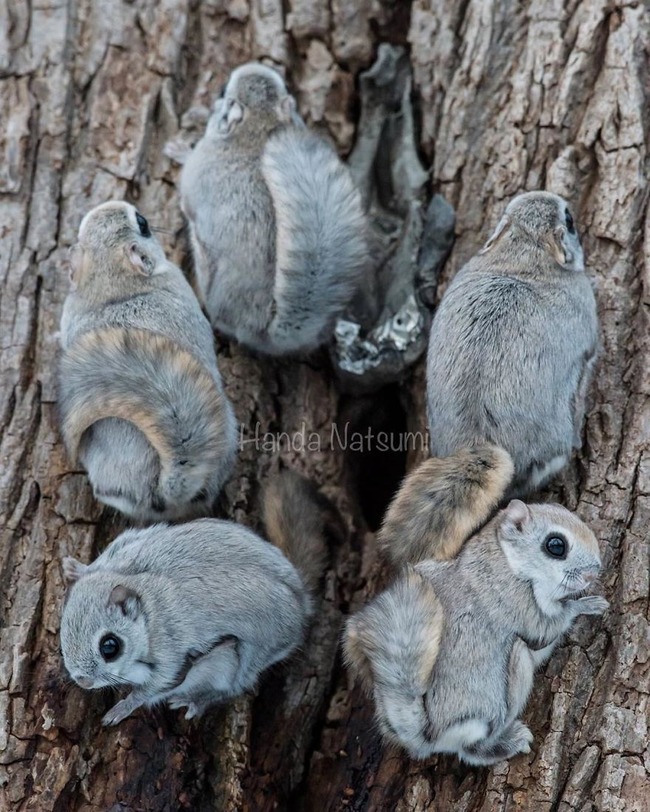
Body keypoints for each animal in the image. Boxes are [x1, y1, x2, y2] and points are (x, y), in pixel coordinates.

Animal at [60, 469, 339, 725]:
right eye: (62, 635)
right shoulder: (125, 547)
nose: (83, 681)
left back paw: (196, 700)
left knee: (234, 687)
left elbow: (151, 689)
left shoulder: (169, 653)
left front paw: (121, 709)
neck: (142, 590)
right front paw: (76, 568)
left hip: (242, 658)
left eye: (110, 647)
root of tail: (300, 597)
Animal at [344, 497, 608, 765]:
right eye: (556, 546)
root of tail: (430, 734)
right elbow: (549, 626)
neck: (506, 559)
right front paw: (586, 605)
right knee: (472, 749)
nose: (592, 573)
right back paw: (507, 743)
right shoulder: (517, 603)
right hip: (503, 692)